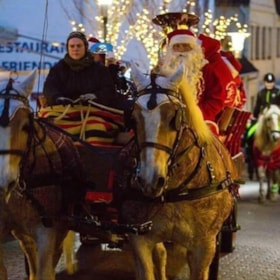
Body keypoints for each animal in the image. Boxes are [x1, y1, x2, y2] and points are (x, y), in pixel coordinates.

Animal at [119, 64, 240, 280]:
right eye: (133, 118)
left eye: (173, 117)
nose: (149, 180)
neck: (176, 190)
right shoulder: (139, 239)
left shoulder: (204, 246)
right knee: (161, 254)